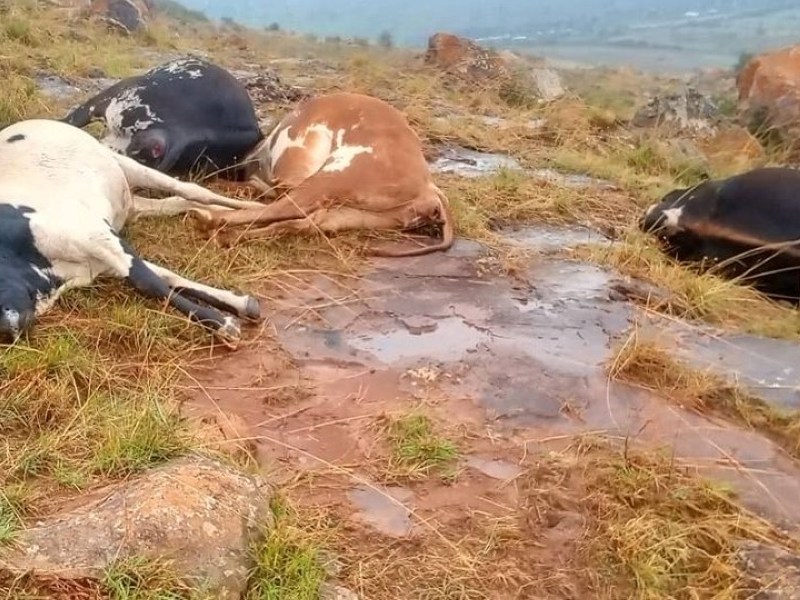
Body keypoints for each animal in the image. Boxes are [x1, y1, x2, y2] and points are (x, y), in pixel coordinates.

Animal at [0, 119, 268, 347]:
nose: (6, 331)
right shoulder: (98, 261)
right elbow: (167, 276)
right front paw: (239, 304)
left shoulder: (95, 233)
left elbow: (148, 282)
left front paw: (223, 324)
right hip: (133, 203)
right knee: (176, 202)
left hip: (126, 163)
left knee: (192, 190)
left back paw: (256, 207)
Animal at [190, 92, 454, 257]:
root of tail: (430, 188)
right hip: (353, 214)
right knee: (300, 224)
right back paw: (227, 236)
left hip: (332, 178)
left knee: (284, 209)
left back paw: (210, 218)